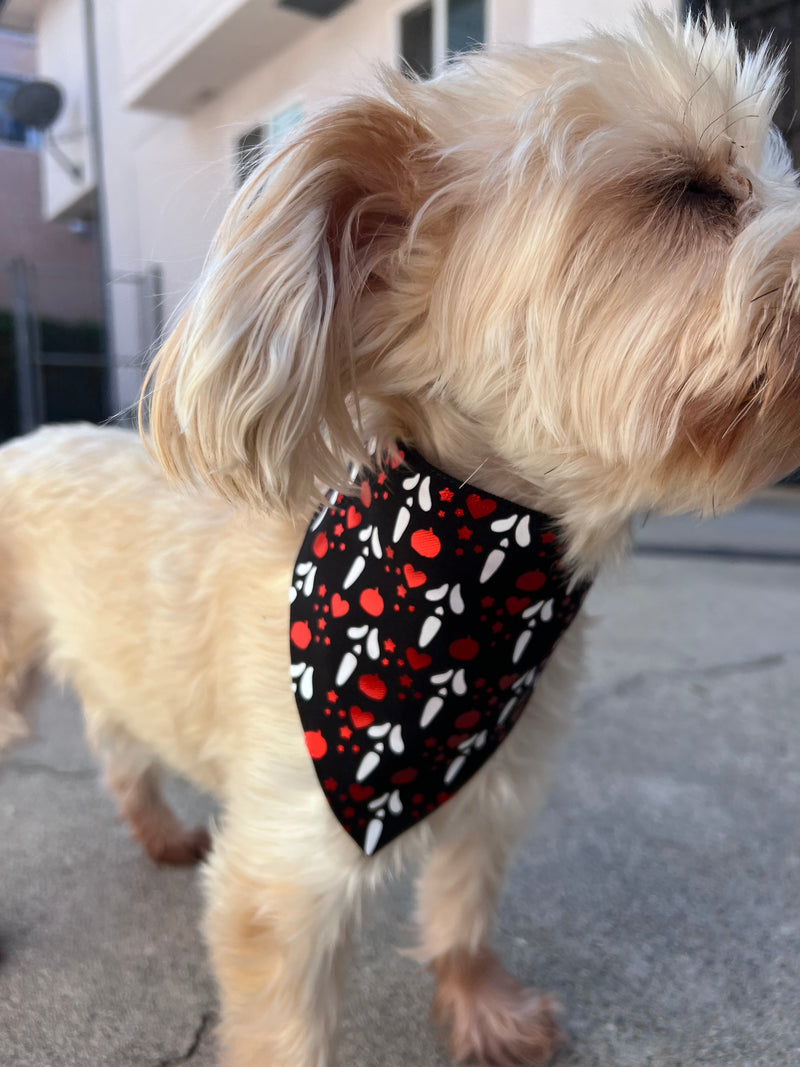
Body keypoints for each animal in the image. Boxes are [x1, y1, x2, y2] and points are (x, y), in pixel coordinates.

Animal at [1, 10, 800, 1067]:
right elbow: (287, 1025)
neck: (477, 583)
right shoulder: (284, 875)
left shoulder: (495, 789)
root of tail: (23, 436)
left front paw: (482, 1008)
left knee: (118, 739)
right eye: (687, 187)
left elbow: (461, 912)